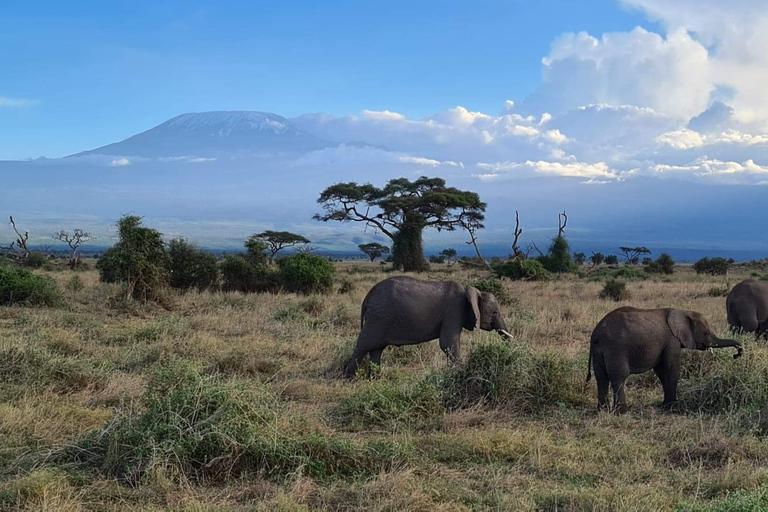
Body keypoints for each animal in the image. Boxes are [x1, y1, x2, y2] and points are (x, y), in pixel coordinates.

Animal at [344, 278, 512, 378]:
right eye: (495, 312)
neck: (469, 292)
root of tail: (367, 297)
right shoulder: (454, 311)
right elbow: (448, 343)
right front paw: (459, 373)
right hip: (378, 317)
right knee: (364, 345)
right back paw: (349, 377)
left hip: (380, 318)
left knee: (376, 349)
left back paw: (376, 378)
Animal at [584, 308, 740, 412]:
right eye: (706, 333)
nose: (737, 353)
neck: (683, 311)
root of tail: (596, 334)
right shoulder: (672, 340)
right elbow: (671, 367)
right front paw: (672, 407)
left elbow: (661, 370)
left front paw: (665, 404)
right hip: (616, 348)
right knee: (618, 376)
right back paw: (622, 411)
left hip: (599, 351)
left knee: (601, 377)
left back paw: (602, 410)